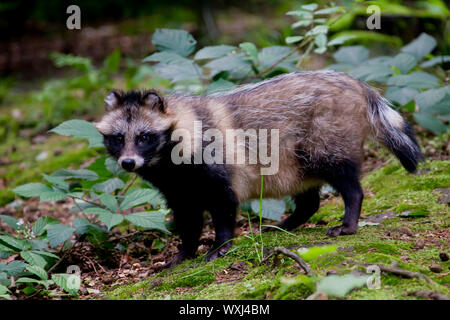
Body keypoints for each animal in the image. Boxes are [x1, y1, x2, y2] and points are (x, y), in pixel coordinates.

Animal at [94, 71, 422, 266]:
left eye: (144, 137)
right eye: (118, 138)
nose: (127, 162)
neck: (167, 164)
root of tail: (353, 82)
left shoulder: (215, 165)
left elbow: (224, 206)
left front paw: (220, 244)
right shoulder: (177, 188)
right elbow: (188, 219)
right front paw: (184, 251)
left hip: (326, 139)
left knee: (347, 181)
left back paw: (349, 219)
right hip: (296, 163)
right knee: (308, 199)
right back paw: (288, 222)